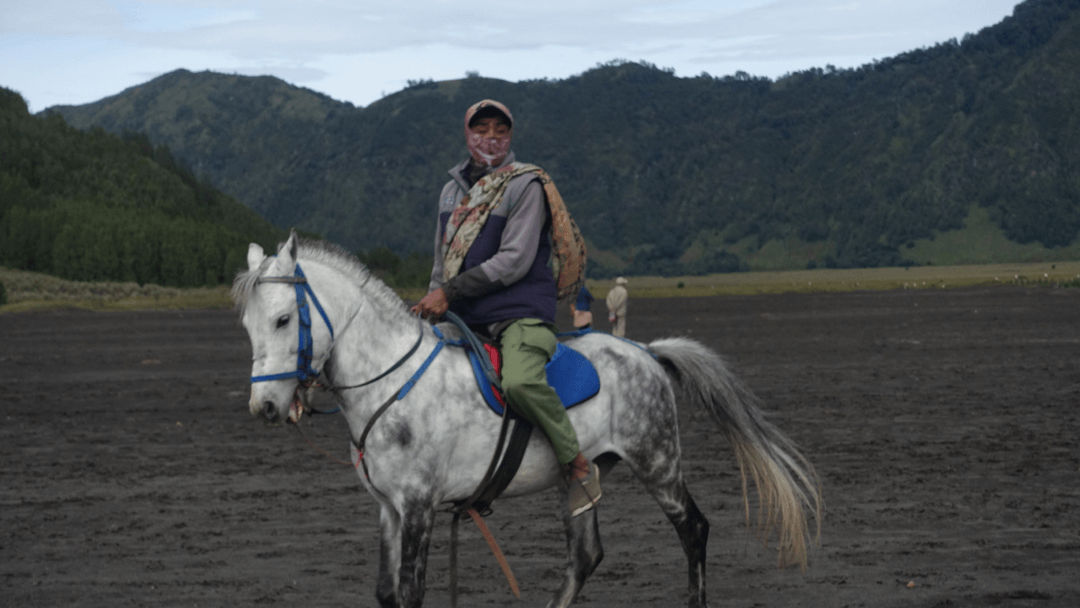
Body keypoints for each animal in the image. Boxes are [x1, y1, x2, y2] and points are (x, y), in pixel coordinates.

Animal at [234, 231, 816, 604]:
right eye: (246, 325)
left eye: (283, 319)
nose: (265, 407)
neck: (390, 382)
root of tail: (646, 352)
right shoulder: (389, 508)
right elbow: (386, 592)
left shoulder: (419, 505)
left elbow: (411, 592)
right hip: (581, 475)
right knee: (585, 556)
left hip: (658, 462)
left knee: (693, 530)